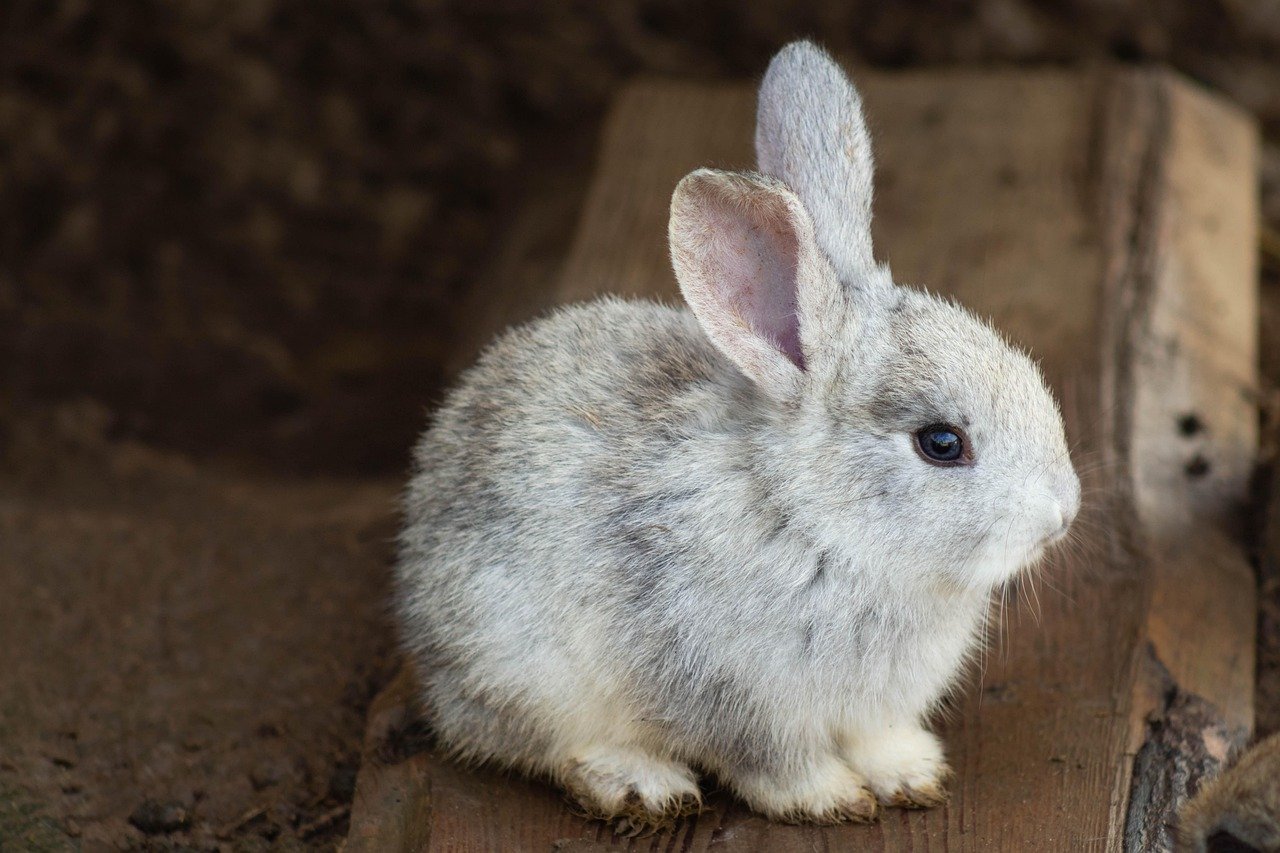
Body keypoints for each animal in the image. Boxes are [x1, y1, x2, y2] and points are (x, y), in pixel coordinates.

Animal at [395, 40, 1080, 828]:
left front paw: (912, 774)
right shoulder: (736, 697)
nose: (1063, 513)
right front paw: (832, 799)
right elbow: (774, 765)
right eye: (941, 443)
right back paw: (641, 783)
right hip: (522, 666)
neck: (816, 522)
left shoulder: (871, 710)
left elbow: (879, 738)